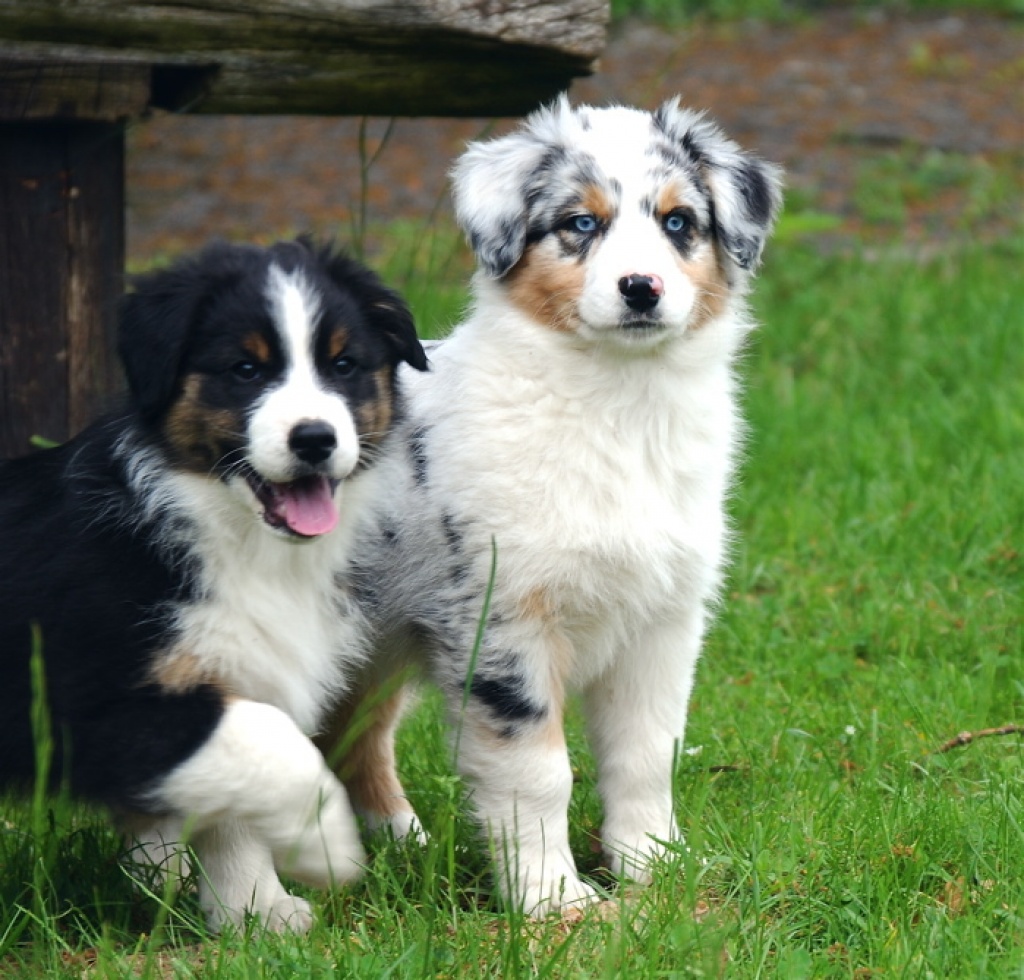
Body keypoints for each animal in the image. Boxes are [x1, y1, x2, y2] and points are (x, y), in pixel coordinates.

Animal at [0, 237, 425, 933]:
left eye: (344, 364)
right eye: (245, 370)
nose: (316, 438)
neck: (229, 532)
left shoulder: (235, 667)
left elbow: (234, 799)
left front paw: (255, 914)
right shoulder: (81, 697)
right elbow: (267, 741)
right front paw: (327, 847)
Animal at [327, 99, 782, 917]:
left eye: (678, 222)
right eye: (580, 223)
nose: (642, 288)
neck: (619, 404)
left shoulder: (663, 623)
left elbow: (645, 756)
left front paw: (656, 869)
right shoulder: (505, 624)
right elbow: (537, 774)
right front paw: (554, 903)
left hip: (375, 642)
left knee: (355, 737)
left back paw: (399, 845)